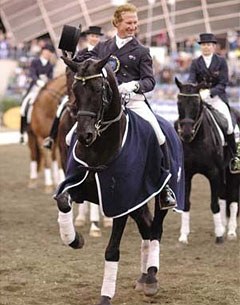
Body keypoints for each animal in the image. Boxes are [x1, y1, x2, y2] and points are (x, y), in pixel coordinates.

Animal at [54, 55, 185, 304]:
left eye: (98, 89)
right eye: (75, 89)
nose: (85, 135)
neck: (99, 150)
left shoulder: (121, 201)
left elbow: (112, 250)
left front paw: (105, 296)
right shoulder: (82, 186)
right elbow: (63, 201)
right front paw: (75, 239)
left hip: (159, 194)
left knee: (155, 230)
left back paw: (151, 277)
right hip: (139, 200)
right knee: (146, 228)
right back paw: (143, 276)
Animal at [175, 77, 239, 243]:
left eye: (196, 104)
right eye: (179, 103)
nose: (186, 133)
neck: (197, 141)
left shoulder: (214, 173)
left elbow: (214, 204)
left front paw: (219, 236)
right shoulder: (187, 174)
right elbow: (186, 204)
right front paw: (183, 236)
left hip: (233, 172)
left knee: (233, 199)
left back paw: (231, 231)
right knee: (224, 196)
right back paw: (223, 226)